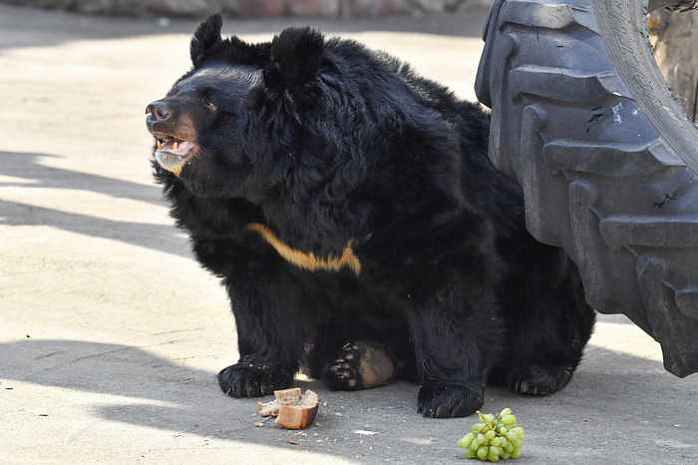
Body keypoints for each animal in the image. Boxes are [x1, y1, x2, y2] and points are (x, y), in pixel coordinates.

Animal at [145, 15, 592, 416]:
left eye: (209, 101)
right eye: (176, 90)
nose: (155, 110)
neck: (272, 183)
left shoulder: (405, 181)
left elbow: (445, 276)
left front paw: (448, 396)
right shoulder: (250, 233)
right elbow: (261, 296)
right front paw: (247, 374)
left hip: (542, 243)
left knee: (548, 305)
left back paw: (535, 373)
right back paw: (358, 362)